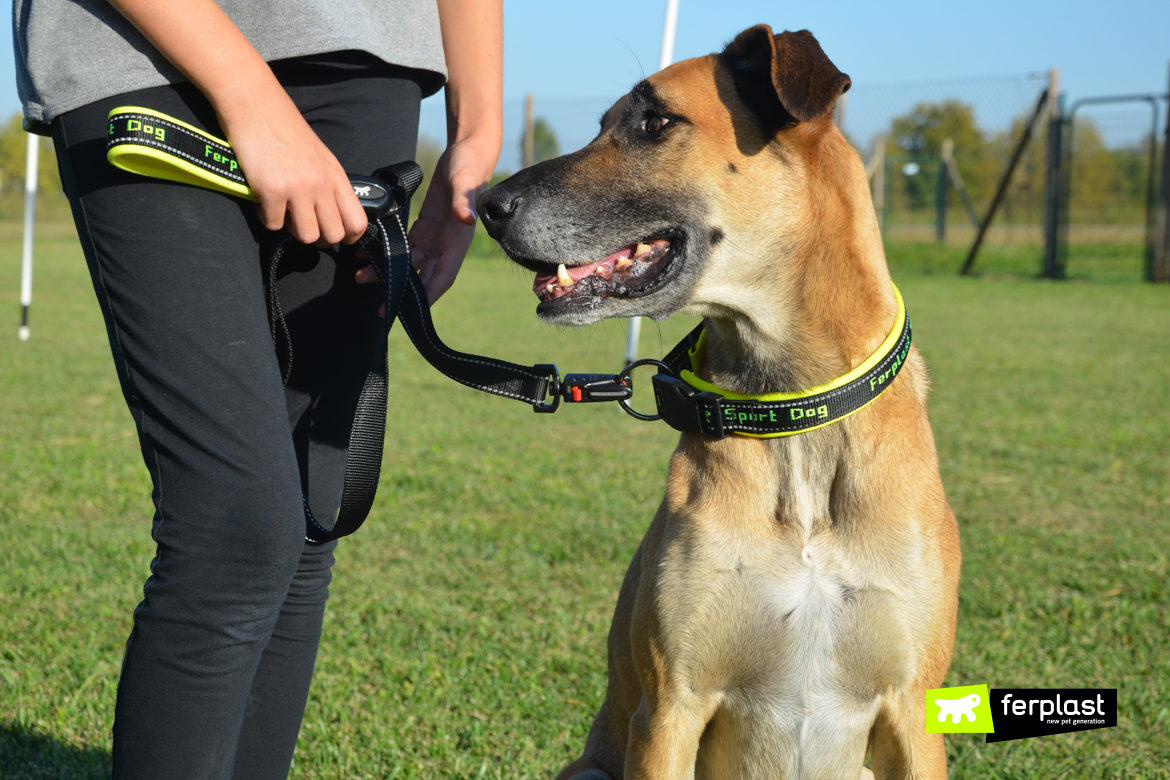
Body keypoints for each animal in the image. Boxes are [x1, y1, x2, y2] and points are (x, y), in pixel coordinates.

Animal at [479, 22, 964, 780]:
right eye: (602, 123)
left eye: (655, 122)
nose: (485, 205)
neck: (790, 411)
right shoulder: (670, 706)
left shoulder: (915, 712)